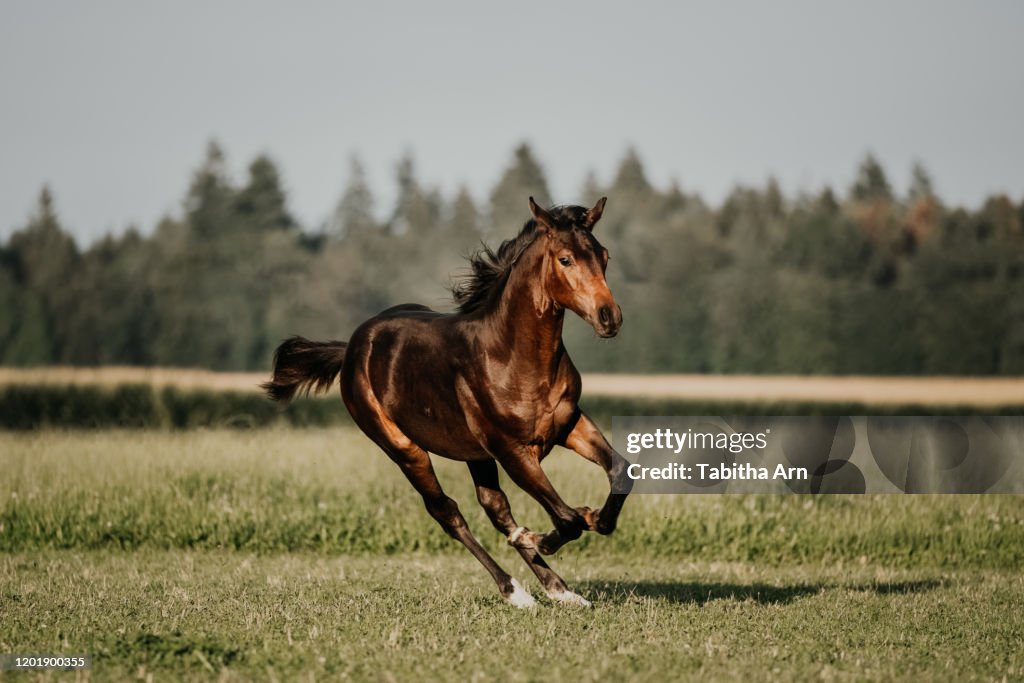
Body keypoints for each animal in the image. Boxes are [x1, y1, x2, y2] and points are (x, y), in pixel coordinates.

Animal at [262, 197, 630, 610]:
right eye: (565, 259)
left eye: (604, 256)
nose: (609, 317)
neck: (511, 355)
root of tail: (353, 347)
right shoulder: (512, 450)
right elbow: (566, 518)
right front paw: (544, 533)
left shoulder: (568, 425)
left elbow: (621, 473)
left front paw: (595, 519)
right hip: (404, 448)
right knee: (447, 511)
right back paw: (514, 589)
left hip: (476, 454)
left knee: (494, 507)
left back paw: (559, 589)